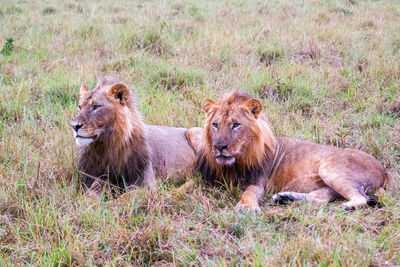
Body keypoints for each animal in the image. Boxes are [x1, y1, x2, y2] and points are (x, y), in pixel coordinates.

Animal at [185, 91, 396, 213]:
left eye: (236, 125)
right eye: (215, 125)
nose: (219, 147)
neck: (235, 163)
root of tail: (385, 170)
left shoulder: (258, 181)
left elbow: (249, 193)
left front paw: (245, 207)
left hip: (330, 167)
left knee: (362, 198)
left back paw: (346, 206)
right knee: (320, 198)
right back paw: (285, 198)